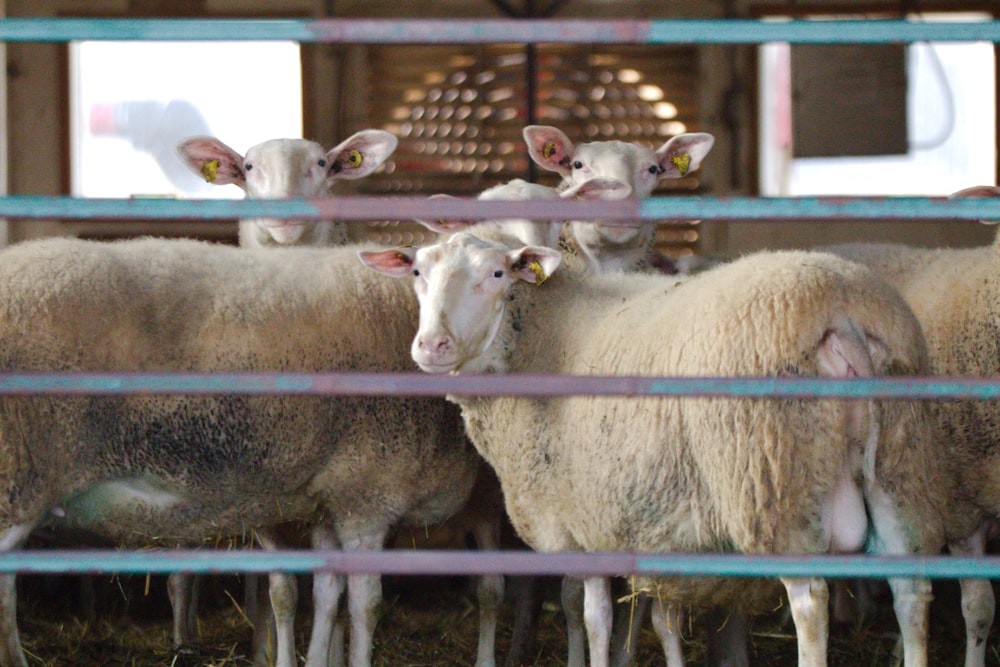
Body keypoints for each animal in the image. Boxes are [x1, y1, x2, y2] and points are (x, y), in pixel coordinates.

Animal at [0, 235, 484, 667]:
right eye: (420, 274)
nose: (436, 345)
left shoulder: (329, 497)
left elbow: (328, 595)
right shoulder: (366, 492)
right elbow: (366, 606)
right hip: (18, 476)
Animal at [358, 228, 960, 667]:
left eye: (497, 274)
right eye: (418, 273)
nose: (432, 346)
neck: (537, 337)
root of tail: (844, 313)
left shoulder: (585, 518)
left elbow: (596, 619)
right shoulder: (652, 520)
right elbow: (657, 621)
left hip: (776, 481)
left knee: (812, 605)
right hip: (904, 467)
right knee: (912, 593)